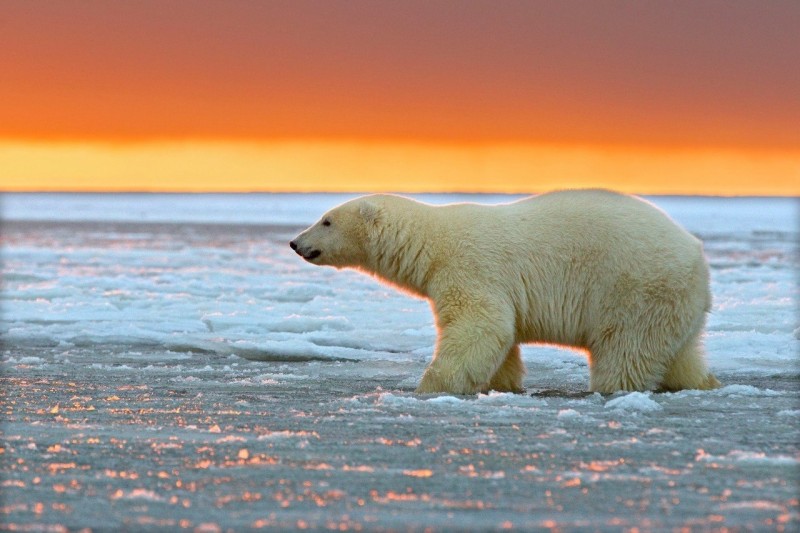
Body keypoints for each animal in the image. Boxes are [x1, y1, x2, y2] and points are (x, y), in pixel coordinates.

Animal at [290, 191, 720, 394]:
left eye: (326, 220)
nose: (295, 242)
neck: (433, 242)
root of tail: (697, 256)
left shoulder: (471, 267)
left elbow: (480, 326)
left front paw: (430, 386)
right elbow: (502, 339)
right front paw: (501, 383)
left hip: (635, 288)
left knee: (626, 351)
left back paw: (612, 386)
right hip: (675, 303)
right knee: (681, 352)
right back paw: (702, 382)